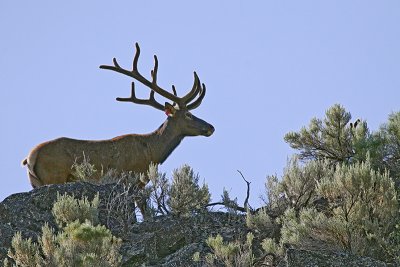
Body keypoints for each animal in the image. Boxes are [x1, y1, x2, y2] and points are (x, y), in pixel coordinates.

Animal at [21, 43, 214, 188]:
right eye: (188, 114)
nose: (211, 127)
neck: (152, 152)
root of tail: (29, 157)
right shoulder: (132, 179)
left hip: (36, 183)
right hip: (54, 175)